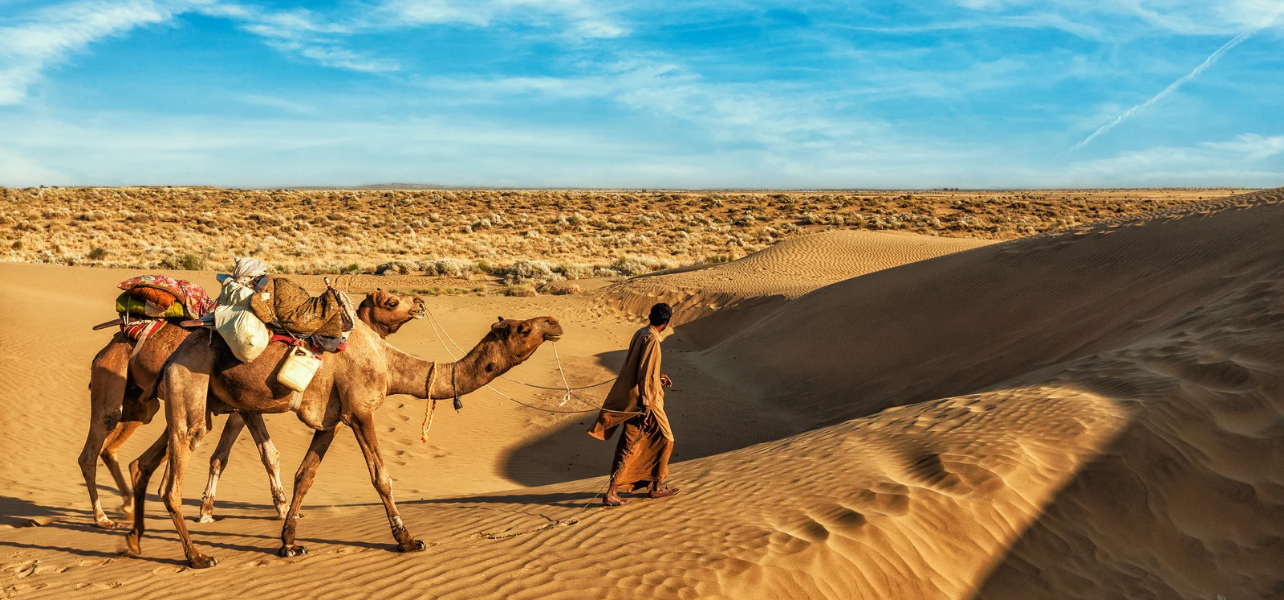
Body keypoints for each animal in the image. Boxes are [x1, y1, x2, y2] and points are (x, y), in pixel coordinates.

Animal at [78, 289, 424, 529]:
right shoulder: (242, 407)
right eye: (391, 301)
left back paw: (127, 505)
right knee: (93, 449)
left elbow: (243, 455)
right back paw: (102, 516)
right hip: (114, 386)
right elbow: (248, 455)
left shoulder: (241, 408)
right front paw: (276, 509)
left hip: (141, 405)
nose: (420, 303)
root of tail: (112, 341)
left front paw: (213, 509)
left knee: (129, 453)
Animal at [126, 313, 563, 568]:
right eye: (524, 328)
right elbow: (381, 476)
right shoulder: (360, 411)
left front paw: (289, 544)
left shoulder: (331, 422)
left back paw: (134, 540)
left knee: (142, 462)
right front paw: (407, 540)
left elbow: (305, 475)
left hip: (195, 401)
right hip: (191, 388)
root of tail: (171, 354)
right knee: (171, 482)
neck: (388, 363)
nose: (555, 322)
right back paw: (197, 556)